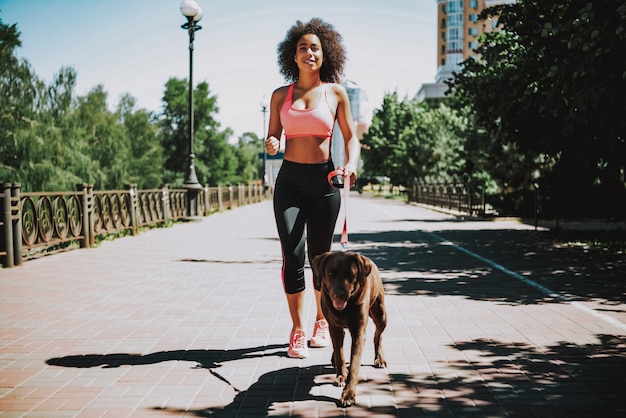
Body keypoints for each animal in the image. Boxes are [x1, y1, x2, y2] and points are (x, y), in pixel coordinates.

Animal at [310, 250, 386, 406]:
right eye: (331, 273)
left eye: (351, 274)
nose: (339, 294)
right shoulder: (334, 327)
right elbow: (340, 354)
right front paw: (341, 375)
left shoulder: (358, 332)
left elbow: (355, 363)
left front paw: (348, 394)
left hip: (381, 314)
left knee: (378, 335)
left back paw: (379, 358)